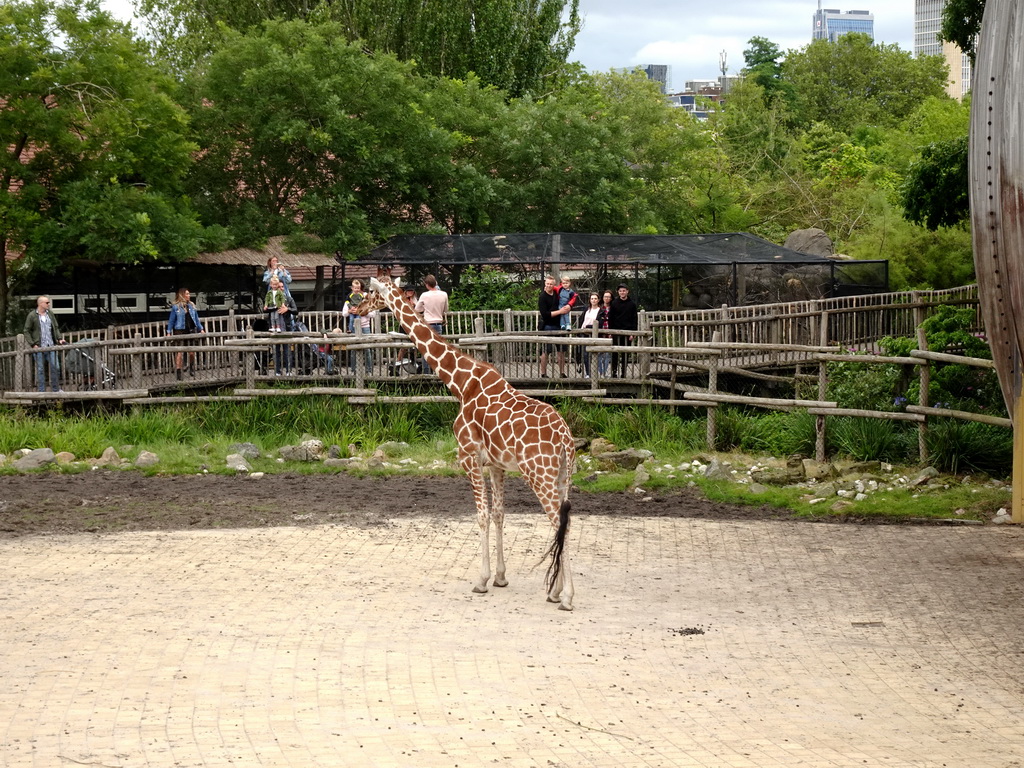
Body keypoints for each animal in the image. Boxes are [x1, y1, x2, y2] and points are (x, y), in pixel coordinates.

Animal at [354, 274, 577, 610]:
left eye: (370, 292)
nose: (356, 309)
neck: (461, 383)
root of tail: (565, 436)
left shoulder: (469, 457)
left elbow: (481, 516)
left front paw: (481, 581)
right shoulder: (496, 465)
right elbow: (498, 514)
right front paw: (500, 577)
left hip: (540, 474)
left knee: (556, 521)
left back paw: (567, 597)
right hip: (564, 475)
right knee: (564, 521)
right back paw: (554, 591)